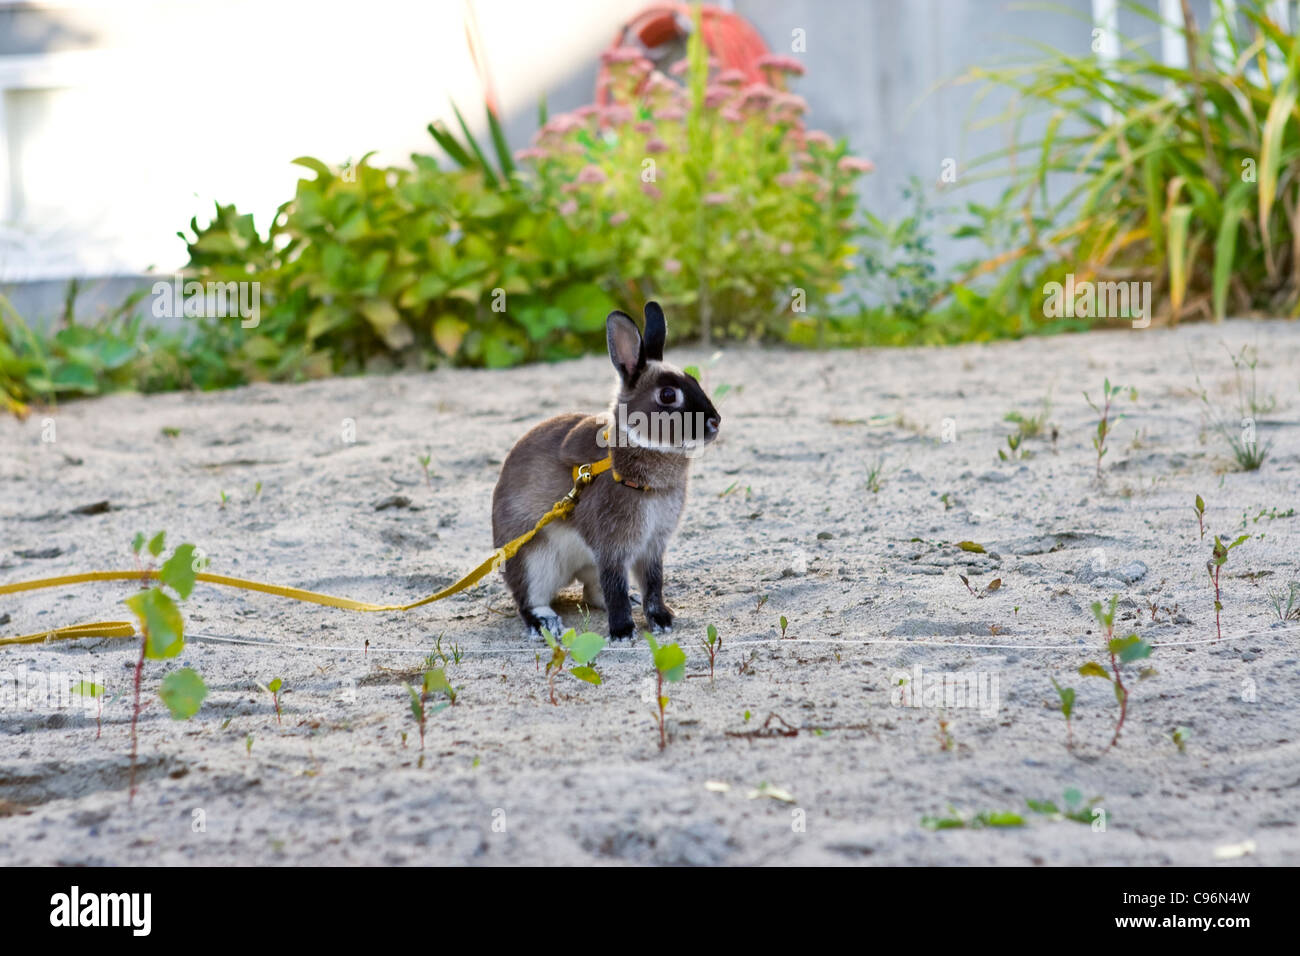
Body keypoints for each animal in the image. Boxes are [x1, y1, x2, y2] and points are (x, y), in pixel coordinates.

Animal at [491, 300, 722, 642]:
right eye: (668, 395)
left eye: (694, 382)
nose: (715, 422)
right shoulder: (612, 546)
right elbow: (615, 584)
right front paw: (623, 632)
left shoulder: (652, 545)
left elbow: (653, 583)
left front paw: (661, 619)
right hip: (533, 560)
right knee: (530, 599)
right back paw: (546, 623)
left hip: (583, 565)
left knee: (592, 591)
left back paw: (631, 599)